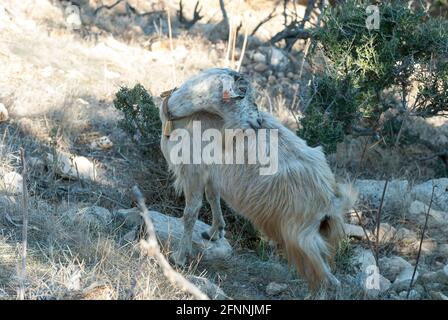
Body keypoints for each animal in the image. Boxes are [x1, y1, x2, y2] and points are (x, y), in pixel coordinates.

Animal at [159, 67, 356, 290]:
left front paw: (180, 257)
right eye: (243, 93)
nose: (258, 122)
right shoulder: (211, 174)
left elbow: (190, 213)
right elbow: (213, 198)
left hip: (299, 231)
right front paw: (215, 231)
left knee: (318, 262)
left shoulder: (193, 171)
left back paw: (330, 285)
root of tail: (330, 198)